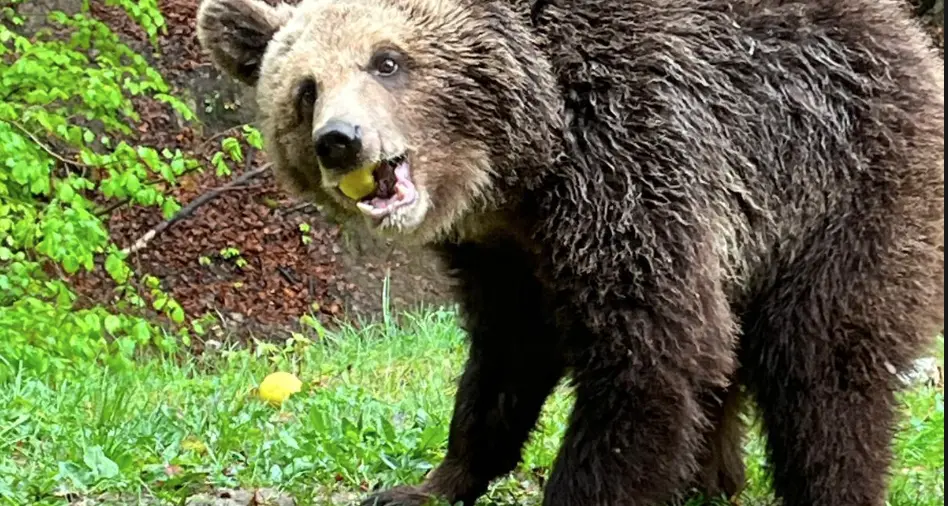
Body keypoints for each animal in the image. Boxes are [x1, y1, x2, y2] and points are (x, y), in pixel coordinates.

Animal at [195, 0, 946, 504]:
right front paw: (429, 483)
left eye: (387, 60)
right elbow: (505, 357)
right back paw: (711, 477)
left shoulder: (636, 159)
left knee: (821, 363)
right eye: (305, 89)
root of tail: (910, 36)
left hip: (838, 182)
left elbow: (651, 354)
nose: (340, 140)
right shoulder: (502, 252)